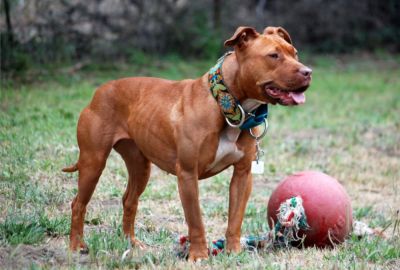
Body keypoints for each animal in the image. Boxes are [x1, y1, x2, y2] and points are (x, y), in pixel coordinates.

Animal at [63, 26, 312, 260]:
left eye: (295, 53)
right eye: (273, 55)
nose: (308, 72)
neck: (226, 105)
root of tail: (100, 90)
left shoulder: (242, 175)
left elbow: (235, 219)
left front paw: (233, 252)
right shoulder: (187, 175)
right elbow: (196, 221)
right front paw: (199, 255)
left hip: (140, 167)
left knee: (129, 201)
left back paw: (131, 243)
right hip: (93, 162)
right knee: (78, 204)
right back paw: (76, 246)